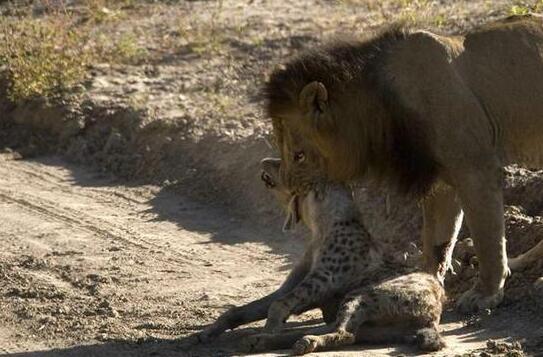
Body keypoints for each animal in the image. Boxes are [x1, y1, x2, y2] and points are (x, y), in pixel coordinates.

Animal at [266, 13, 543, 310]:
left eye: (299, 155)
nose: (289, 186)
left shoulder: (476, 168)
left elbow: (486, 237)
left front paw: (485, 294)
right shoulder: (442, 180)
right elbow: (437, 241)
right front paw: (424, 284)